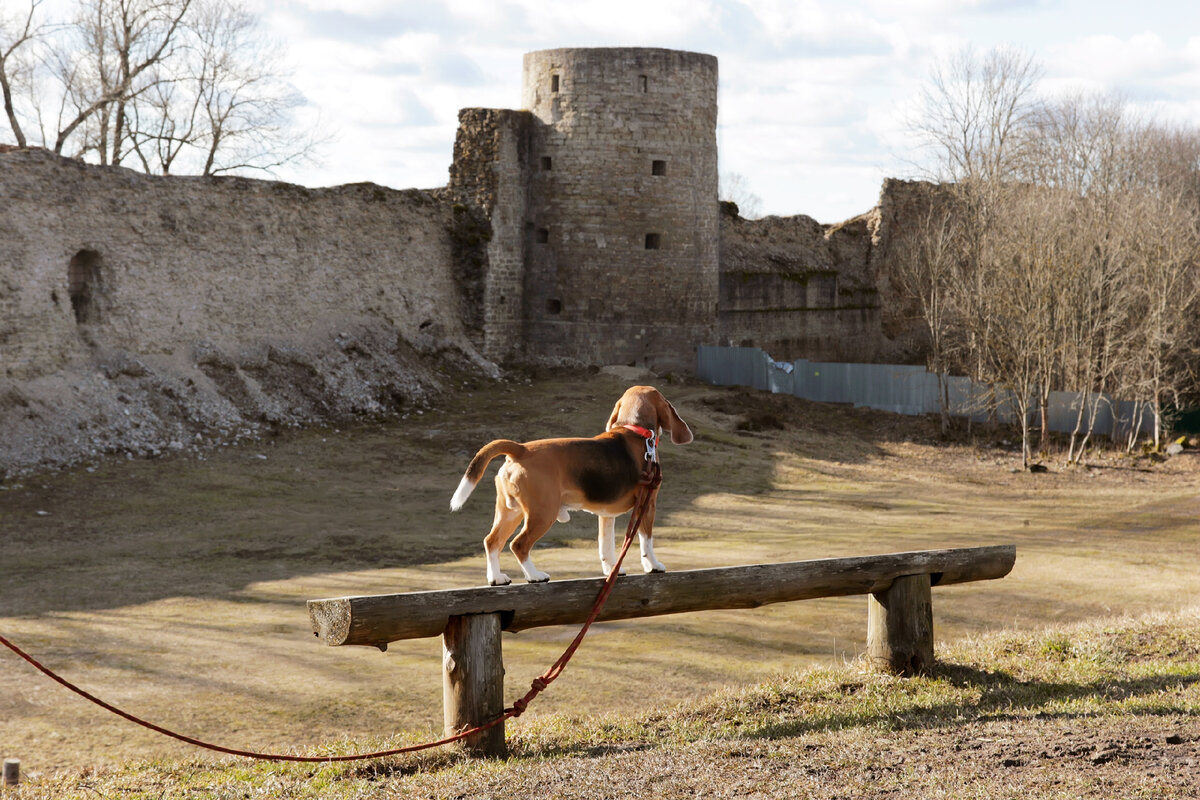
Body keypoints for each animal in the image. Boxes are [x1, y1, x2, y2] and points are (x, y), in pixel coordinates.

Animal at [451, 388, 696, 587]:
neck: (635, 432)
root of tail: (521, 449)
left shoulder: (606, 515)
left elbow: (605, 546)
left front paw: (612, 571)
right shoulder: (648, 504)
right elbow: (647, 541)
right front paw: (653, 566)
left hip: (510, 512)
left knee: (492, 541)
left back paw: (496, 578)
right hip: (542, 513)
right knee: (519, 545)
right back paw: (535, 576)